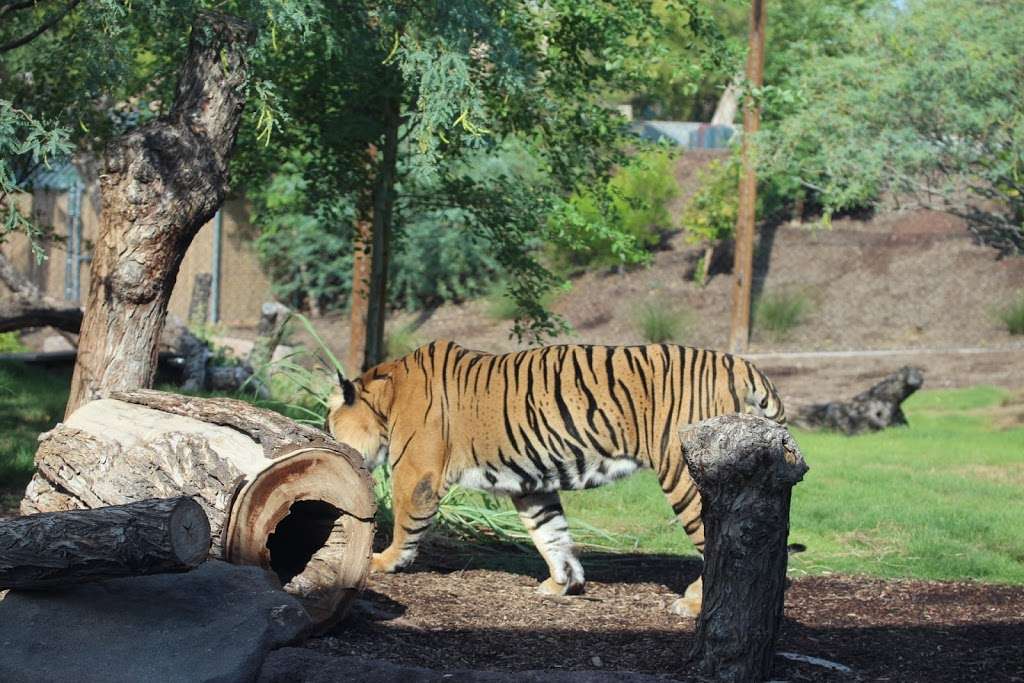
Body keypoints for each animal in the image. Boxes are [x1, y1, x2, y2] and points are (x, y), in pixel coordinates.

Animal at [327, 339, 782, 618]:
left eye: (331, 423)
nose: (327, 437)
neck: (385, 399)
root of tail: (740, 363)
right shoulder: (532, 484)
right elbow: (551, 534)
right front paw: (562, 583)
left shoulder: (415, 471)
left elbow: (406, 521)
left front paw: (384, 560)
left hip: (687, 475)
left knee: (719, 543)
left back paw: (695, 603)